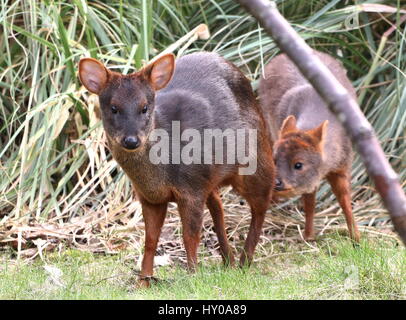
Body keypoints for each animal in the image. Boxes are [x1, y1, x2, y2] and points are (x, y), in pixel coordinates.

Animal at [77, 51, 274, 286]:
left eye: (145, 107)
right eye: (114, 108)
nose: (131, 140)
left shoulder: (191, 189)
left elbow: (190, 236)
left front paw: (192, 276)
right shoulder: (151, 197)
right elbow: (150, 239)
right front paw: (143, 281)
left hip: (257, 160)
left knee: (261, 205)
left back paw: (245, 260)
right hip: (209, 177)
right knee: (218, 204)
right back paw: (229, 261)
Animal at [258, 50, 360, 240]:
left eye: (299, 164)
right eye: (275, 160)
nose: (276, 182)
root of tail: (280, 56)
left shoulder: (342, 167)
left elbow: (345, 200)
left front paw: (356, 237)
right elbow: (310, 204)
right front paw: (308, 236)